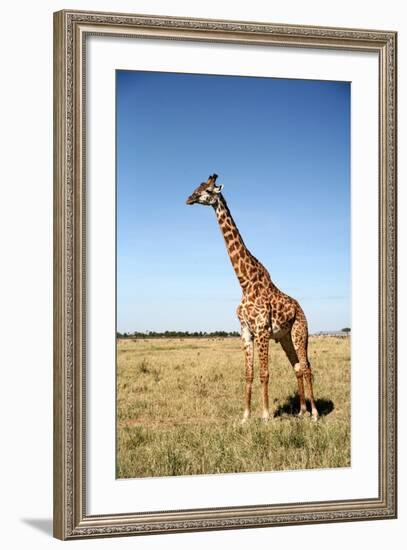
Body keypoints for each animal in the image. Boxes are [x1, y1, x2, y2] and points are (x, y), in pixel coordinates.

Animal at [186, 175, 320, 424]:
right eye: (197, 187)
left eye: (207, 190)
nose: (188, 198)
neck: (245, 283)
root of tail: (300, 308)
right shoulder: (246, 331)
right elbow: (248, 374)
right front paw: (245, 416)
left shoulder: (262, 330)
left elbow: (264, 373)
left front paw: (266, 415)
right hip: (285, 337)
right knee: (297, 367)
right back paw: (301, 411)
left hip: (300, 332)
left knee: (307, 367)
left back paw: (315, 413)